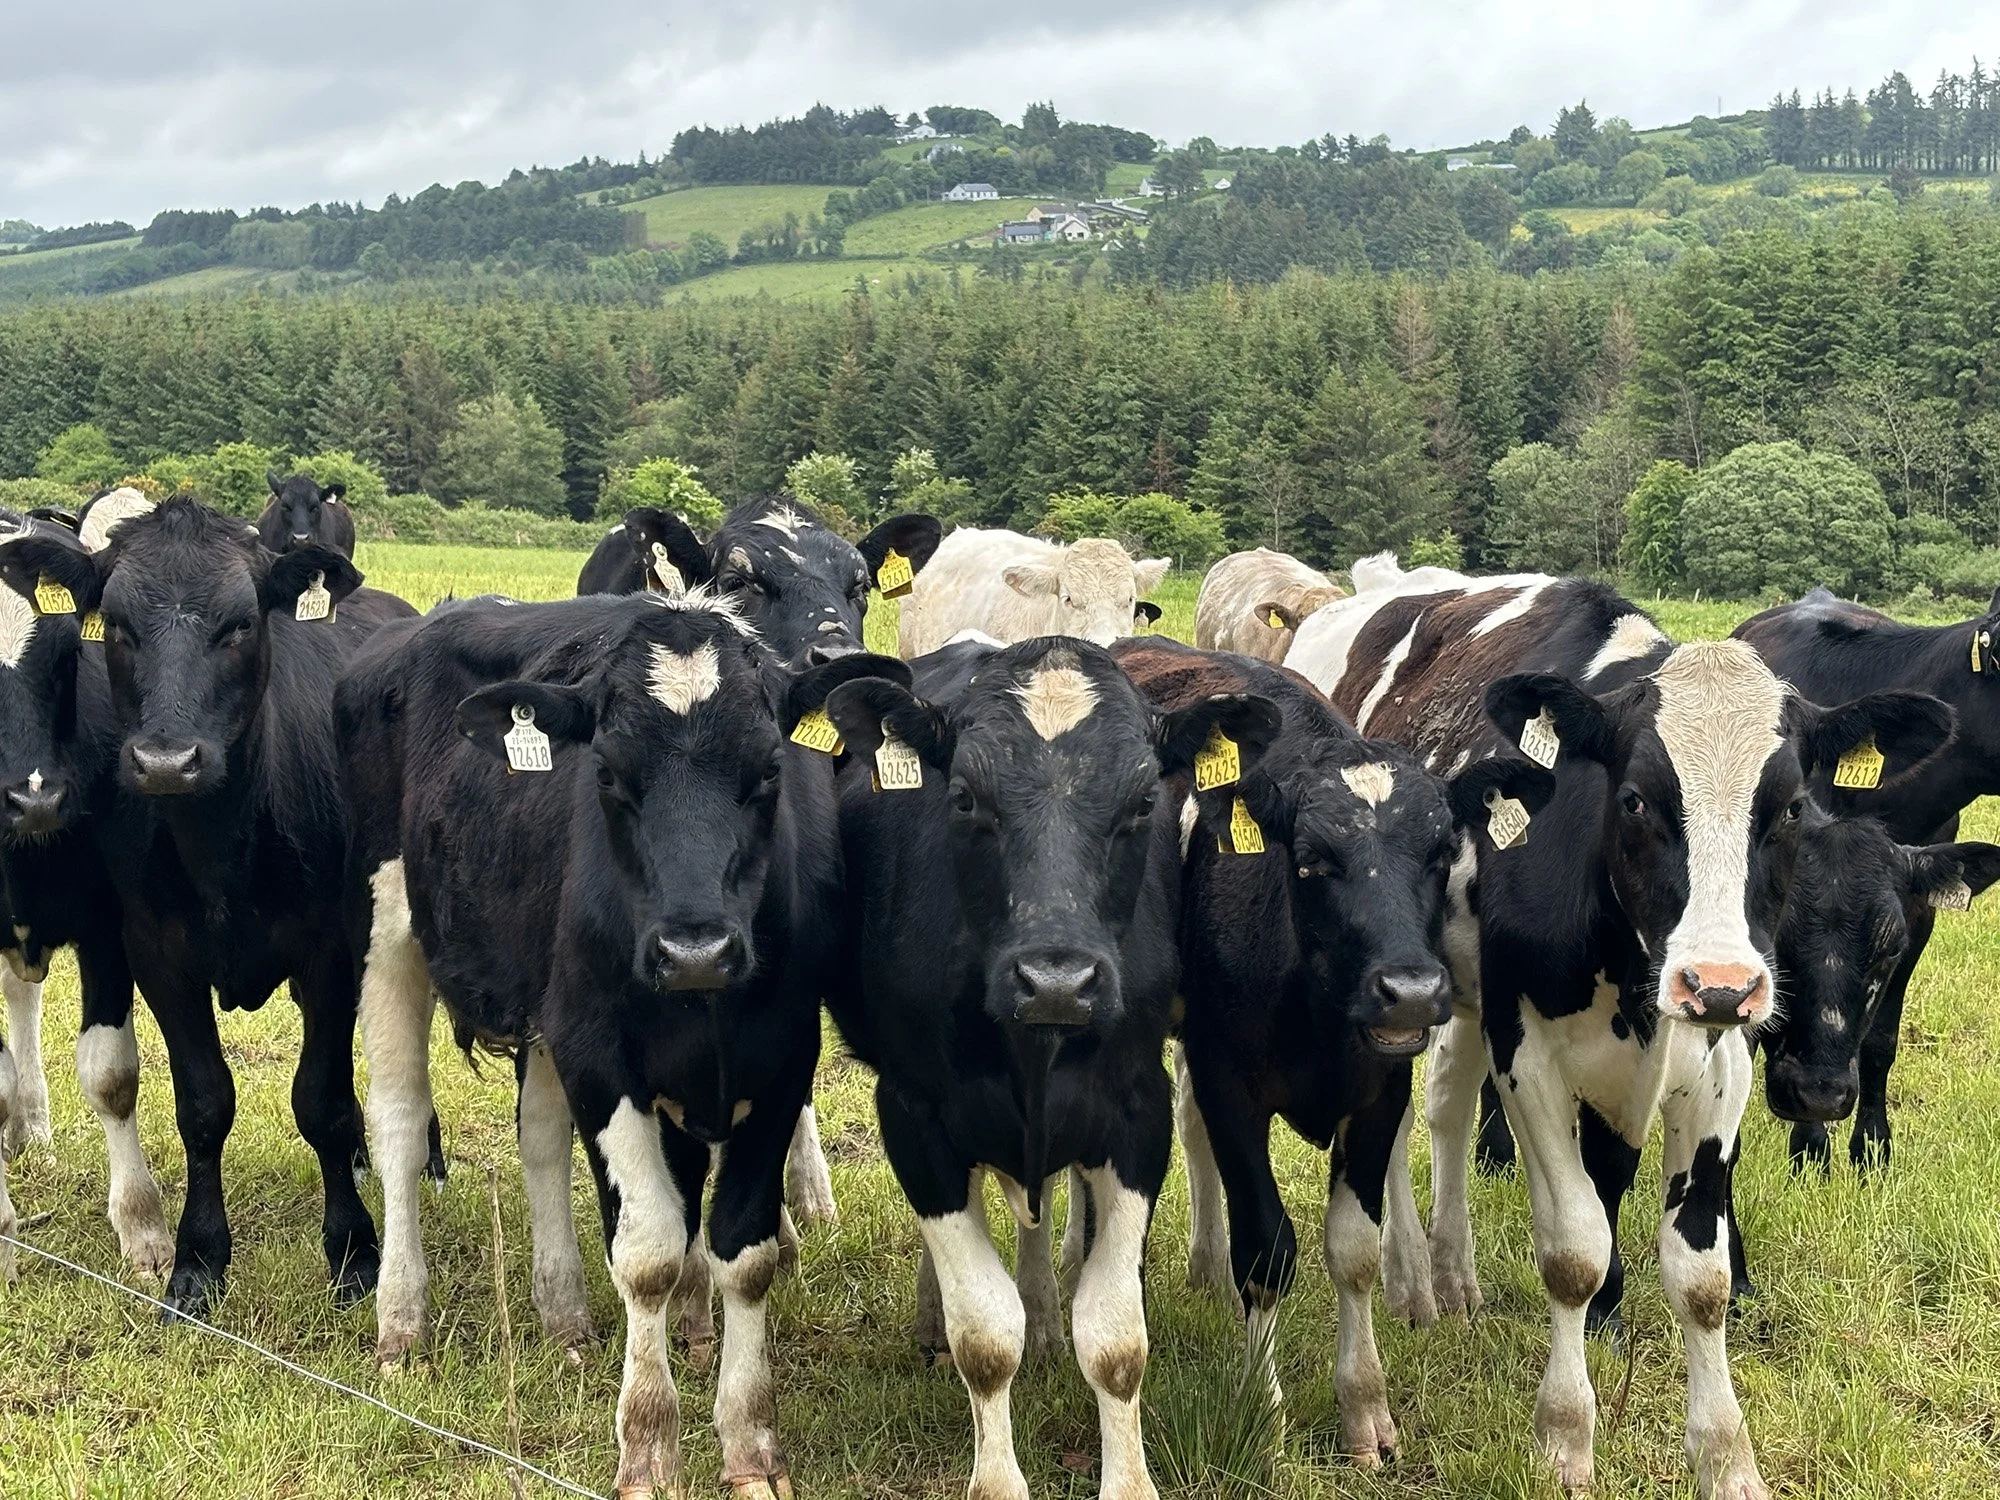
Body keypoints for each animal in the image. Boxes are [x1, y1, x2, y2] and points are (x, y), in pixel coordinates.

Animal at [5, 497, 418, 1315]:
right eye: (118, 627)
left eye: (241, 625)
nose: (167, 761)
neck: (222, 842)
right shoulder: (155, 956)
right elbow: (201, 1104)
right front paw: (197, 1259)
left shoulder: (331, 953)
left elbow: (320, 1099)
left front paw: (355, 1251)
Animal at [339, 587, 892, 1497]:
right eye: (606, 775)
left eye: (768, 772)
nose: (695, 950)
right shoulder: (598, 1053)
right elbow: (649, 1252)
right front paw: (649, 1443)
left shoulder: (782, 1059)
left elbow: (742, 1248)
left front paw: (748, 1441)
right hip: (388, 928)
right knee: (397, 1125)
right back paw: (401, 1322)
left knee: (538, 1137)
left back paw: (564, 1316)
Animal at [820, 634, 1277, 1500]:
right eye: (965, 798)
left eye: (1143, 802)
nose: (1057, 980)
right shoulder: (915, 1115)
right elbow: (982, 1334)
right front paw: (997, 1477)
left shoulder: (1136, 1114)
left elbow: (1116, 1338)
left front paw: (1128, 1481)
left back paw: (1041, 1315)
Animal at [1107, 636, 1550, 1463]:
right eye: (1313, 859)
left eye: (1442, 851)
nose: (1410, 990)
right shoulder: (1231, 1083)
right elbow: (1266, 1247)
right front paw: (1263, 1413)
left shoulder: (1377, 1096)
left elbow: (1353, 1250)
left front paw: (1365, 1407)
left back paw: (1205, 1266)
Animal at [1287, 564, 1948, 1499]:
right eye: (1634, 800)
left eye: (1787, 808)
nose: (1718, 983)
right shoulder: (1526, 1051)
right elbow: (1574, 1250)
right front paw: (1566, 1433)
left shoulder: (1720, 1066)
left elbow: (1700, 1275)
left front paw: (1726, 1454)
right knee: (1420, 1120)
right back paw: (1417, 1280)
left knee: (1452, 1110)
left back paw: (1452, 1272)